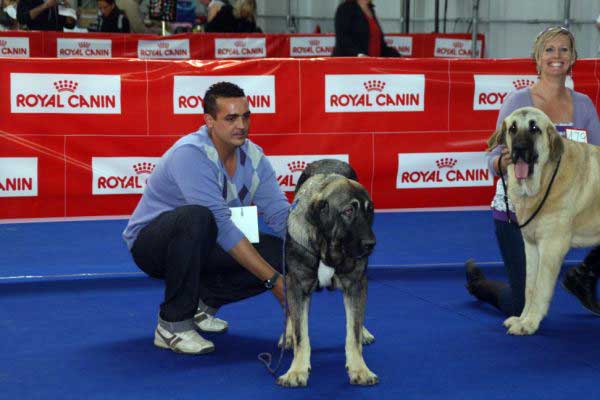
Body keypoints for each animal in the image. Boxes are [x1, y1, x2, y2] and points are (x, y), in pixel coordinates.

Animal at [276, 159, 378, 388]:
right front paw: (297, 370)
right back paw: (287, 335)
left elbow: (353, 332)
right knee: (291, 313)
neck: (326, 248)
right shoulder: (297, 285)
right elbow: (301, 333)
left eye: (369, 211)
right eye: (348, 211)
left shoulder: (356, 284)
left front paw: (360, 368)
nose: (371, 244)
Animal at [490, 105, 600, 334]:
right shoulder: (531, 246)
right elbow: (529, 286)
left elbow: (540, 287)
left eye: (534, 128)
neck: (545, 178)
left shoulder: (551, 246)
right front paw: (522, 318)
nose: (519, 149)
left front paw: (529, 323)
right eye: (512, 128)